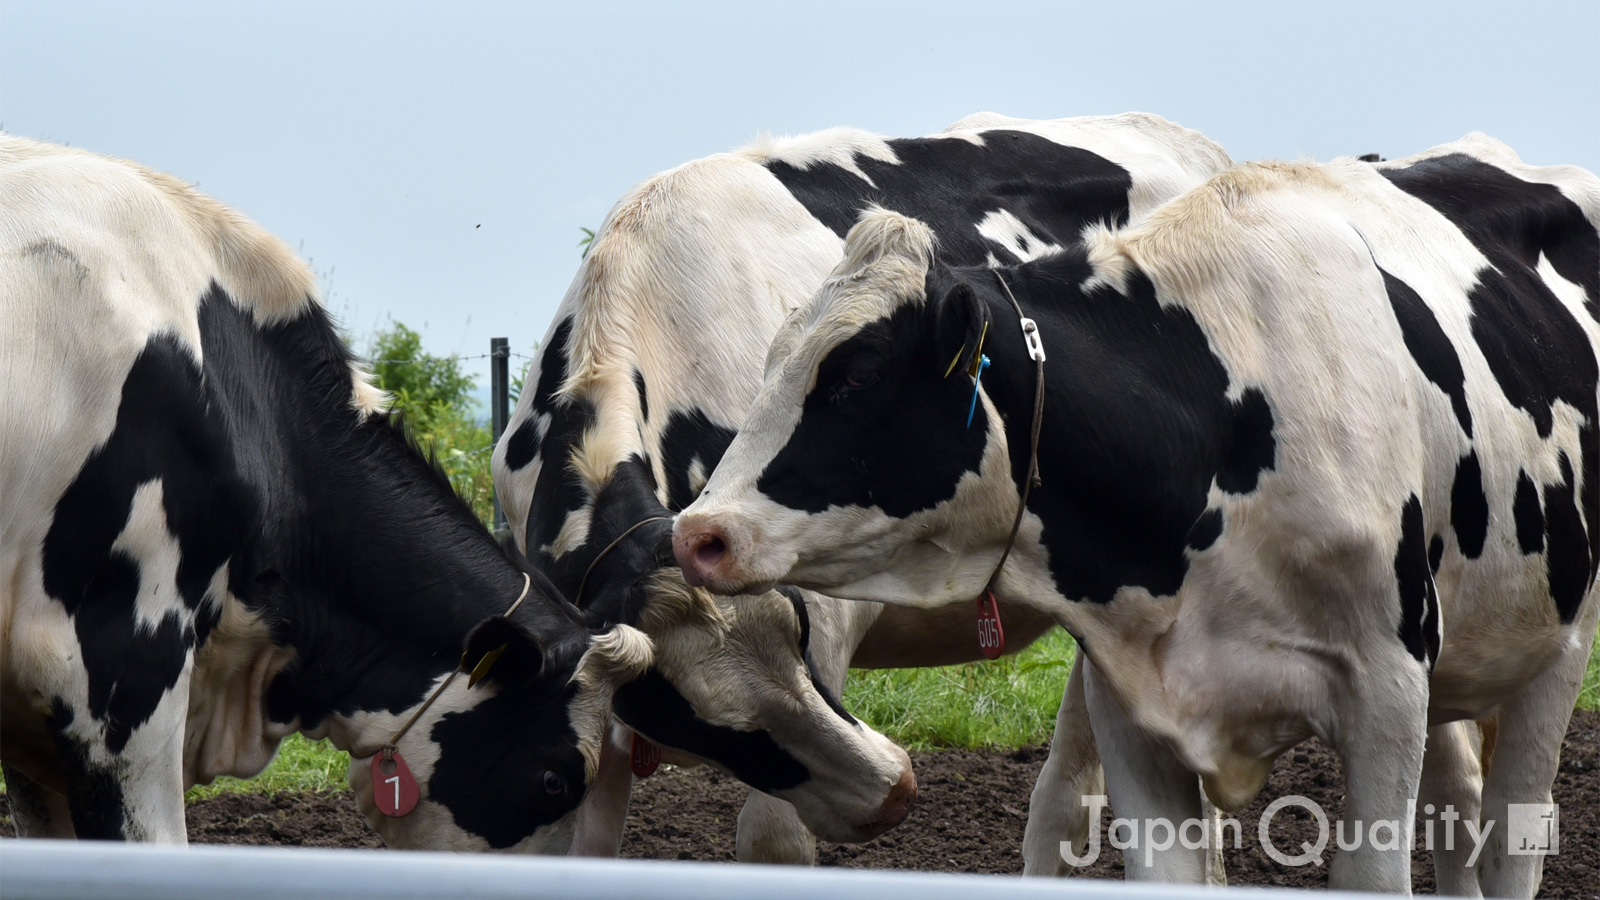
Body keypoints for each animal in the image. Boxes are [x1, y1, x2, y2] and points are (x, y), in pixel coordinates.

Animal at [681, 132, 1600, 890]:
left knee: (1512, 834)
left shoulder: (1387, 689)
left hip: (1559, 645)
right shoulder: (1132, 705)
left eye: (858, 375)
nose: (700, 534)